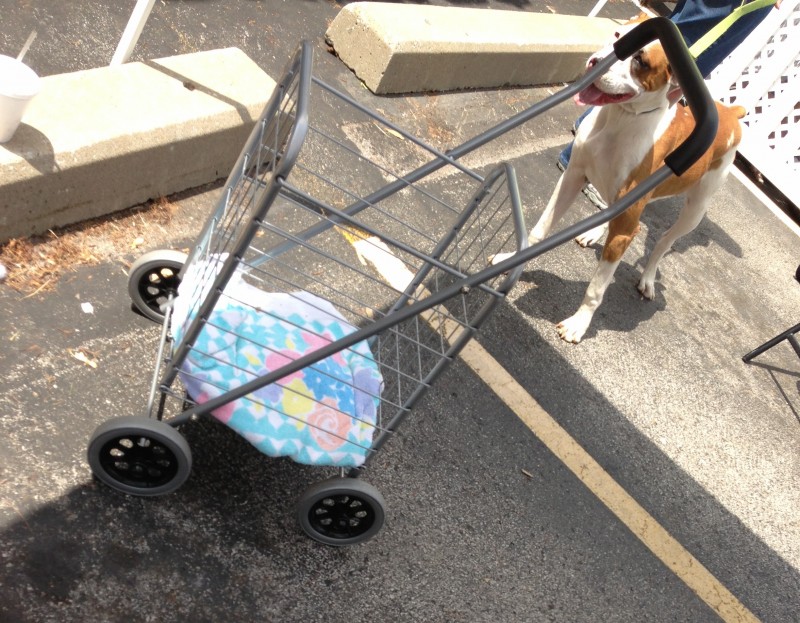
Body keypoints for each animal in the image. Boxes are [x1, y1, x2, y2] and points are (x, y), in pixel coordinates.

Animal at [496, 15, 748, 346]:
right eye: (618, 35)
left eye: (641, 61)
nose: (595, 62)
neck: (622, 118)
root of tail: (730, 111)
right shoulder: (573, 177)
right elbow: (539, 231)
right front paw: (512, 258)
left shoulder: (626, 224)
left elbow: (596, 289)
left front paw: (578, 324)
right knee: (616, 215)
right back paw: (594, 233)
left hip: (694, 211)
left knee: (663, 243)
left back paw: (648, 277)